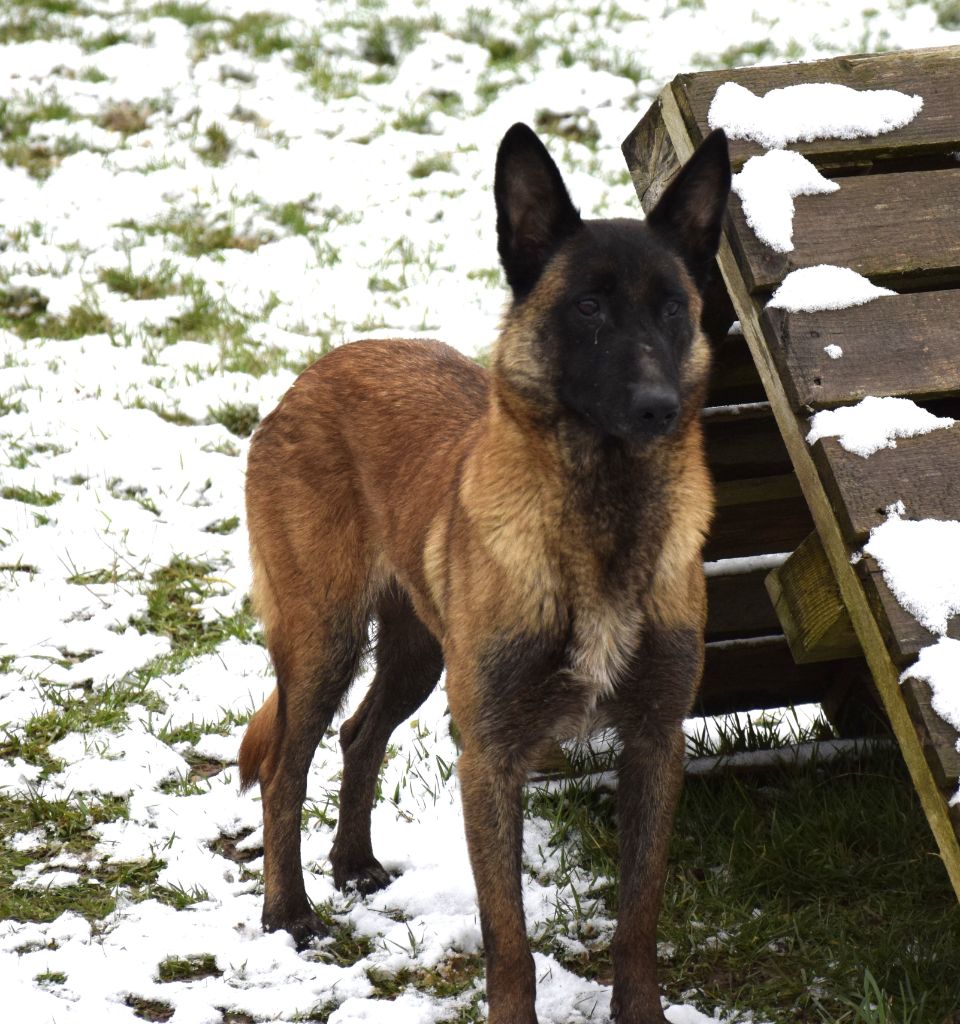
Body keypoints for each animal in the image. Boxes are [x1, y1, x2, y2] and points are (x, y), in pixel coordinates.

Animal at [237, 121, 724, 1024]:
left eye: (674, 308)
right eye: (588, 307)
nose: (657, 407)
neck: (598, 522)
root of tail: (312, 375)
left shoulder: (655, 743)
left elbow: (638, 919)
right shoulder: (490, 757)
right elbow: (511, 941)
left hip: (417, 656)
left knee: (360, 736)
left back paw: (353, 865)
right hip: (324, 643)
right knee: (286, 768)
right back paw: (289, 912)